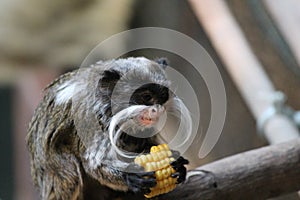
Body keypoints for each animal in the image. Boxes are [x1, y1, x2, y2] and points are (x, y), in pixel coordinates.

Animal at [27, 57, 189, 199]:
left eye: (162, 96)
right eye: (147, 97)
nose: (158, 109)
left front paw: (178, 165)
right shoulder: (89, 118)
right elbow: (93, 164)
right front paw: (130, 177)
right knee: (69, 173)